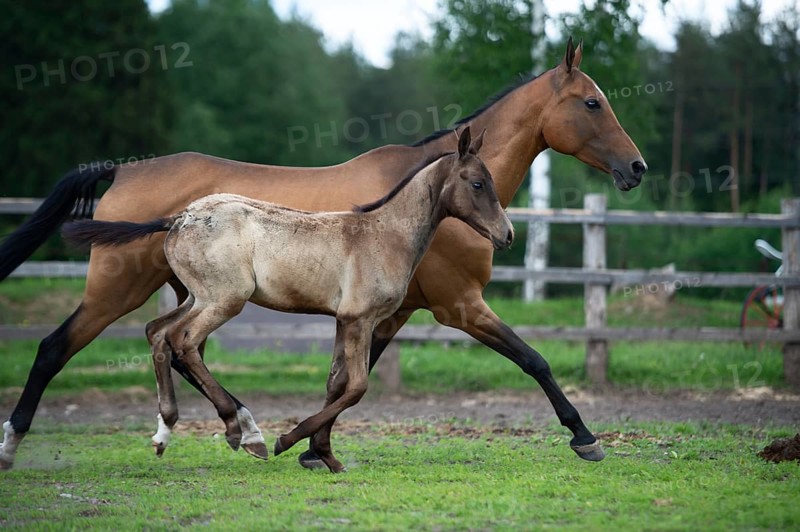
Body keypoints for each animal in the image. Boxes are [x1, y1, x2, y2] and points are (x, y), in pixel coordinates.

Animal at [62, 127, 512, 473]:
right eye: (477, 183)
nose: (506, 234)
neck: (383, 235)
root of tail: (179, 218)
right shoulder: (360, 319)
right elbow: (357, 387)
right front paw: (289, 440)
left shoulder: (343, 320)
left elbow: (336, 383)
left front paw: (326, 457)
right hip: (225, 300)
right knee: (183, 342)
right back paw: (240, 432)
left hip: (197, 296)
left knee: (158, 333)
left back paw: (166, 431)